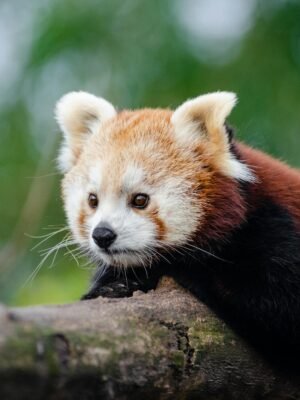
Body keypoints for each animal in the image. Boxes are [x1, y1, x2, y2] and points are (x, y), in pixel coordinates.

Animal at [55, 91, 300, 368]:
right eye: (93, 200)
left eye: (140, 200)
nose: (102, 235)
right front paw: (112, 286)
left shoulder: (275, 230)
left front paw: (175, 266)